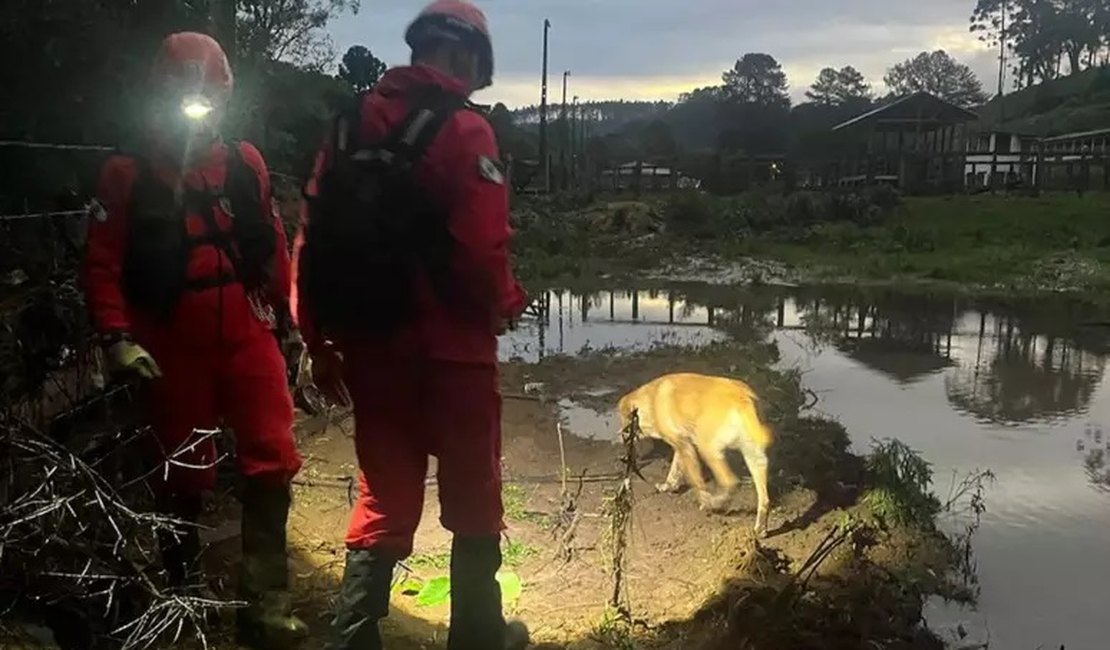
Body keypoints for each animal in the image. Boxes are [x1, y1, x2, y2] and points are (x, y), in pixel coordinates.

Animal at [617, 372, 772, 534]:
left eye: (625, 427)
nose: (623, 452)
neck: (651, 400)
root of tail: (742, 398)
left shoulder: (685, 447)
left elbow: (697, 481)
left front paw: (704, 499)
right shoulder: (682, 446)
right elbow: (674, 471)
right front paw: (668, 486)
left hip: (707, 448)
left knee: (730, 481)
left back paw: (715, 503)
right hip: (754, 458)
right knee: (764, 499)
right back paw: (760, 528)